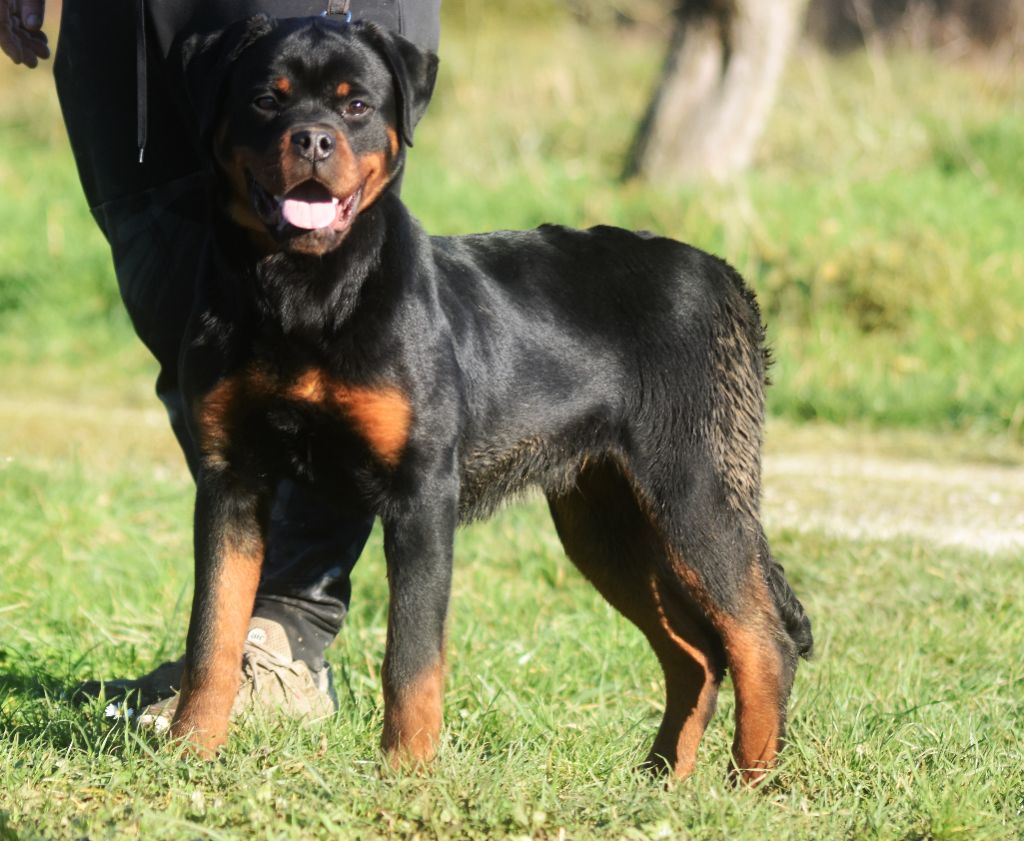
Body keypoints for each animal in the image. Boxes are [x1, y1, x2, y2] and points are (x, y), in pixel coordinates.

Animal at [174, 16, 815, 782]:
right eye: (266, 99)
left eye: (355, 105)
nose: (314, 141)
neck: (306, 294)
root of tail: (728, 280)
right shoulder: (230, 480)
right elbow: (212, 632)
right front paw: (188, 751)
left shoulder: (421, 492)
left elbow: (412, 659)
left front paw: (408, 773)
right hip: (608, 525)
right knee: (696, 655)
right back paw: (662, 782)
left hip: (694, 492)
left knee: (762, 642)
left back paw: (748, 787)